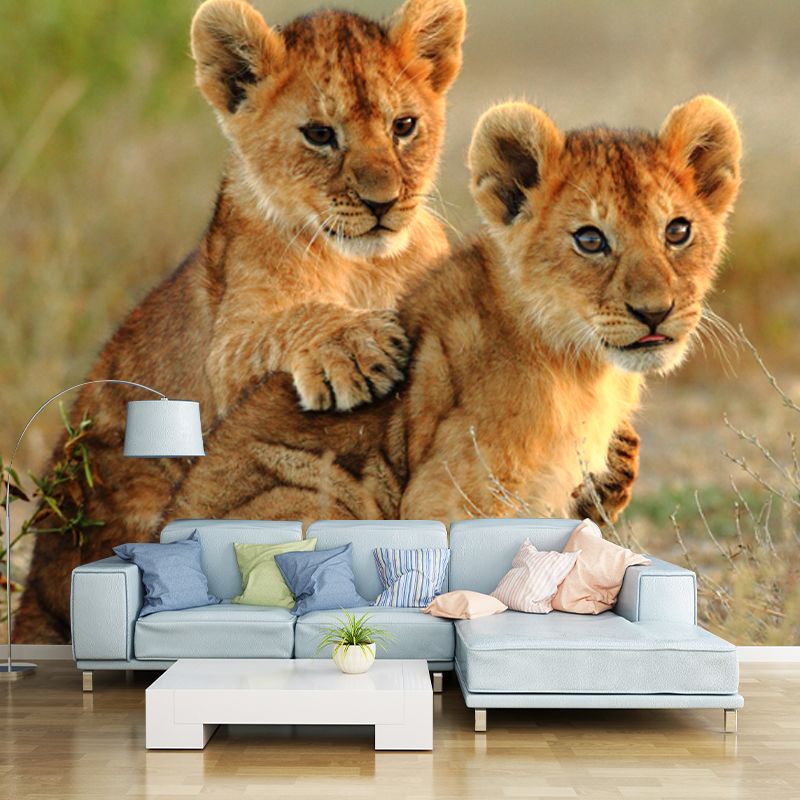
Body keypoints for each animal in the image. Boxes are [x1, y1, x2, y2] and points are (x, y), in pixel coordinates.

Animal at [15, 0, 467, 641]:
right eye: (320, 134)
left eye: (404, 125)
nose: (383, 203)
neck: (365, 265)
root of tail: (33, 595)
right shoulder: (228, 345)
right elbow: (286, 324)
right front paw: (355, 347)